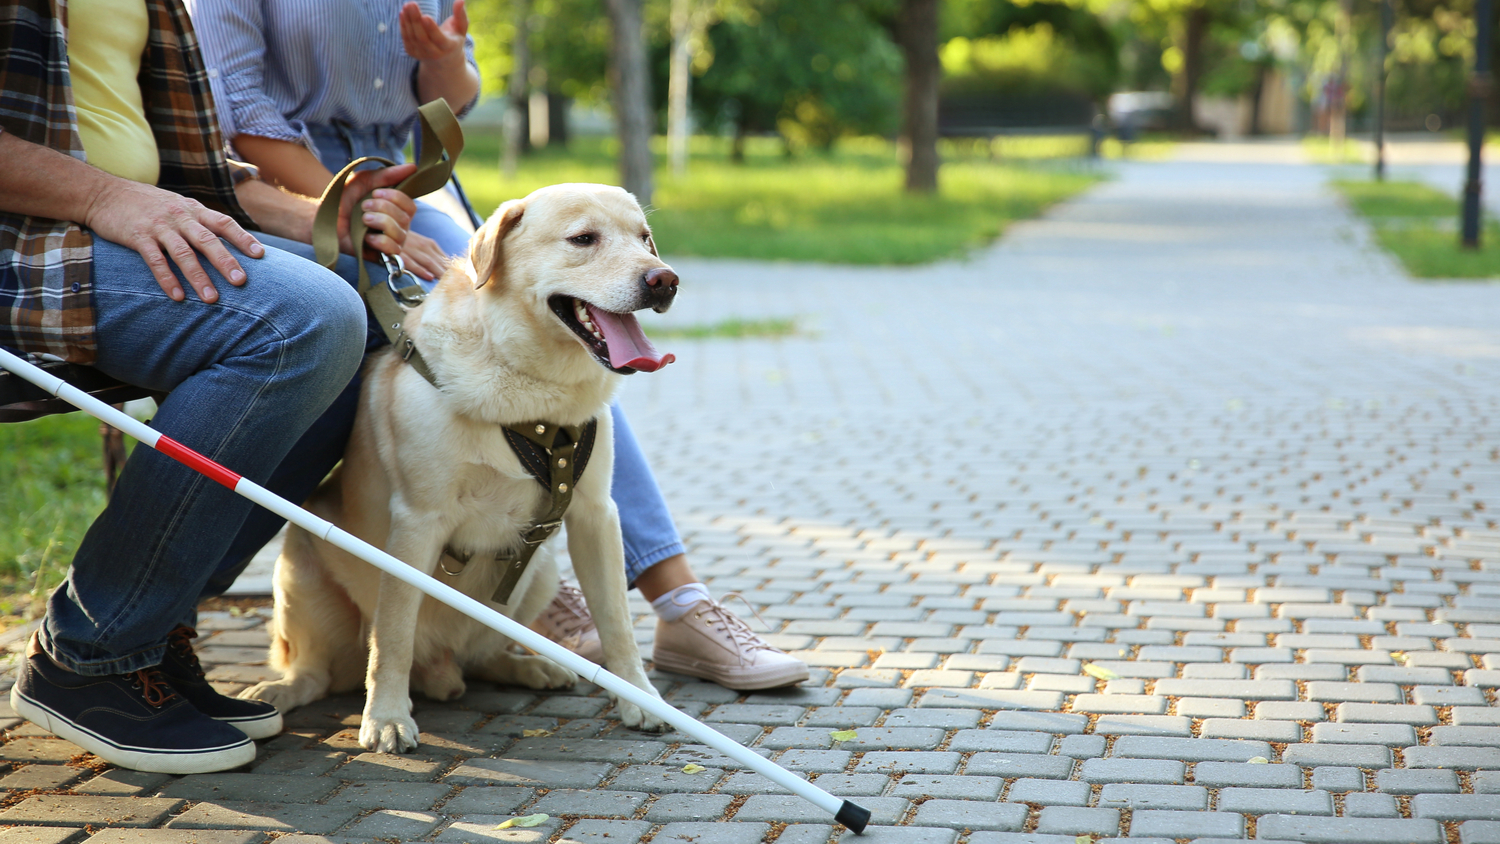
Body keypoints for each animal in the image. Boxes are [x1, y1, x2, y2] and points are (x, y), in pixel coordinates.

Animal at [241, 185, 681, 752]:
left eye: (644, 238)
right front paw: (386, 716)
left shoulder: (595, 513)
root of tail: (440, 670)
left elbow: (618, 623)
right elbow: (394, 633)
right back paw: (279, 692)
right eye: (584, 239)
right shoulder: (417, 521)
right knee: (320, 672)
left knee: (483, 655)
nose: (664, 279)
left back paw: (530, 666)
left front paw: (640, 699)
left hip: (539, 573)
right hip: (300, 571)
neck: (532, 395)